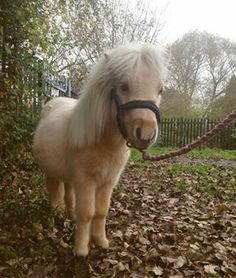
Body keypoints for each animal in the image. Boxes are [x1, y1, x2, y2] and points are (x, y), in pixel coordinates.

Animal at [32, 44, 167, 256]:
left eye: (160, 89)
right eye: (124, 86)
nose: (146, 134)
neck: (105, 142)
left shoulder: (108, 181)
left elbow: (101, 211)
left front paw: (100, 241)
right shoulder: (85, 180)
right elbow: (87, 213)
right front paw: (81, 249)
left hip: (69, 176)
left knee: (68, 193)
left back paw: (69, 215)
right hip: (50, 172)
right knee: (54, 191)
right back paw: (55, 214)